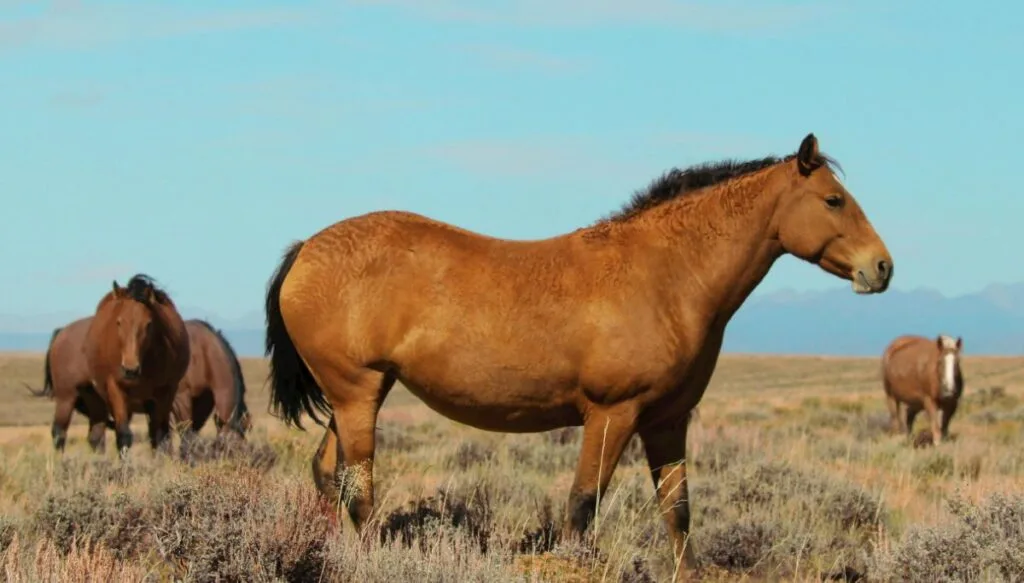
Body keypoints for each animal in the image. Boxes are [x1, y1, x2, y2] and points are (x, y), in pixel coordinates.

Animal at [84, 274, 190, 460]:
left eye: (148, 324)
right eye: (119, 322)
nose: (130, 369)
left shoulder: (165, 391)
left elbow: (160, 435)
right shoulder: (116, 388)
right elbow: (123, 435)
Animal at [263, 133, 893, 580]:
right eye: (833, 200)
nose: (882, 267)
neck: (665, 275)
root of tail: (306, 250)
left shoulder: (667, 420)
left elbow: (678, 510)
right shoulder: (612, 415)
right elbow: (582, 506)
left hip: (358, 397)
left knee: (329, 475)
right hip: (358, 394)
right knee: (360, 489)